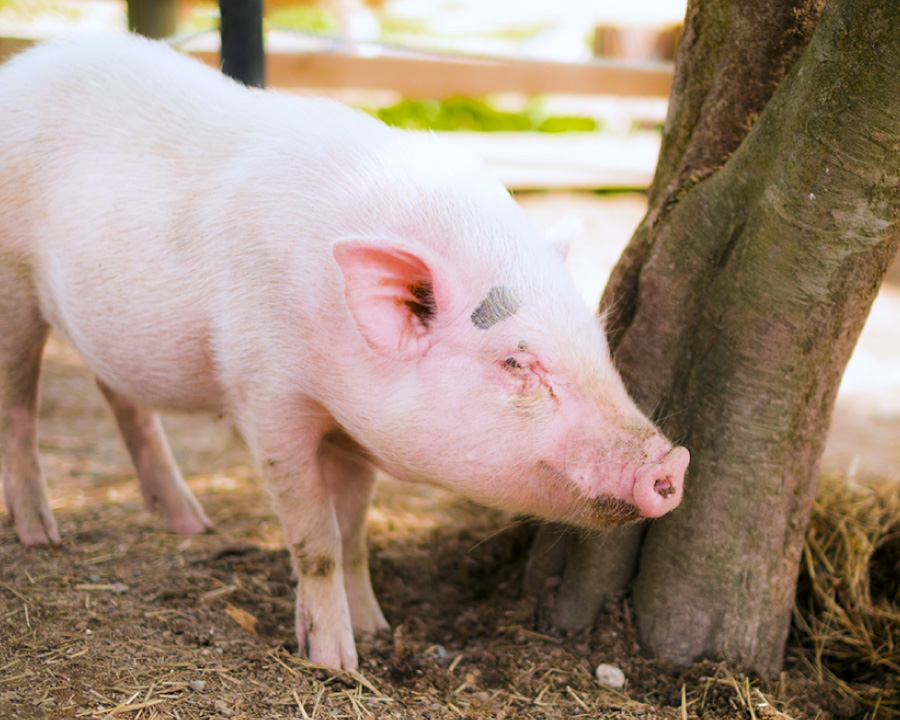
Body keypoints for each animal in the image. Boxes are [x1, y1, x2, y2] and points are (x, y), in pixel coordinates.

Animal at [0, 33, 688, 668]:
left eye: (597, 341)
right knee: (20, 411)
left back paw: (193, 524)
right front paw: (337, 661)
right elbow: (318, 539)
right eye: (516, 362)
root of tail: (23, 65)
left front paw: (377, 629)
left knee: (120, 397)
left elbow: (355, 531)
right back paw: (42, 537)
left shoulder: (355, 431)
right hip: (14, 294)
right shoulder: (267, 399)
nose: (674, 461)